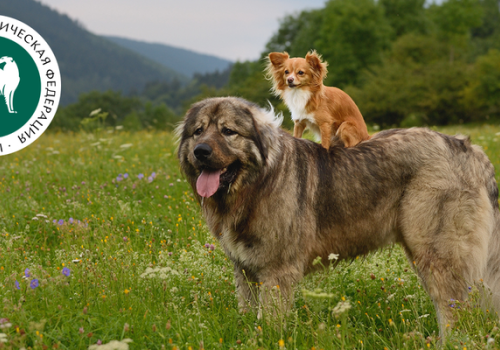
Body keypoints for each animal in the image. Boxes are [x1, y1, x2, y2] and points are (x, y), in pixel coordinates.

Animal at [177, 96, 500, 340]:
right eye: (198, 131)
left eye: (228, 131)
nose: (200, 151)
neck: (256, 184)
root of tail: (468, 148)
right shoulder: (245, 271)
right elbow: (248, 313)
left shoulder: (277, 272)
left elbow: (270, 321)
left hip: (437, 256)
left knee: (453, 313)